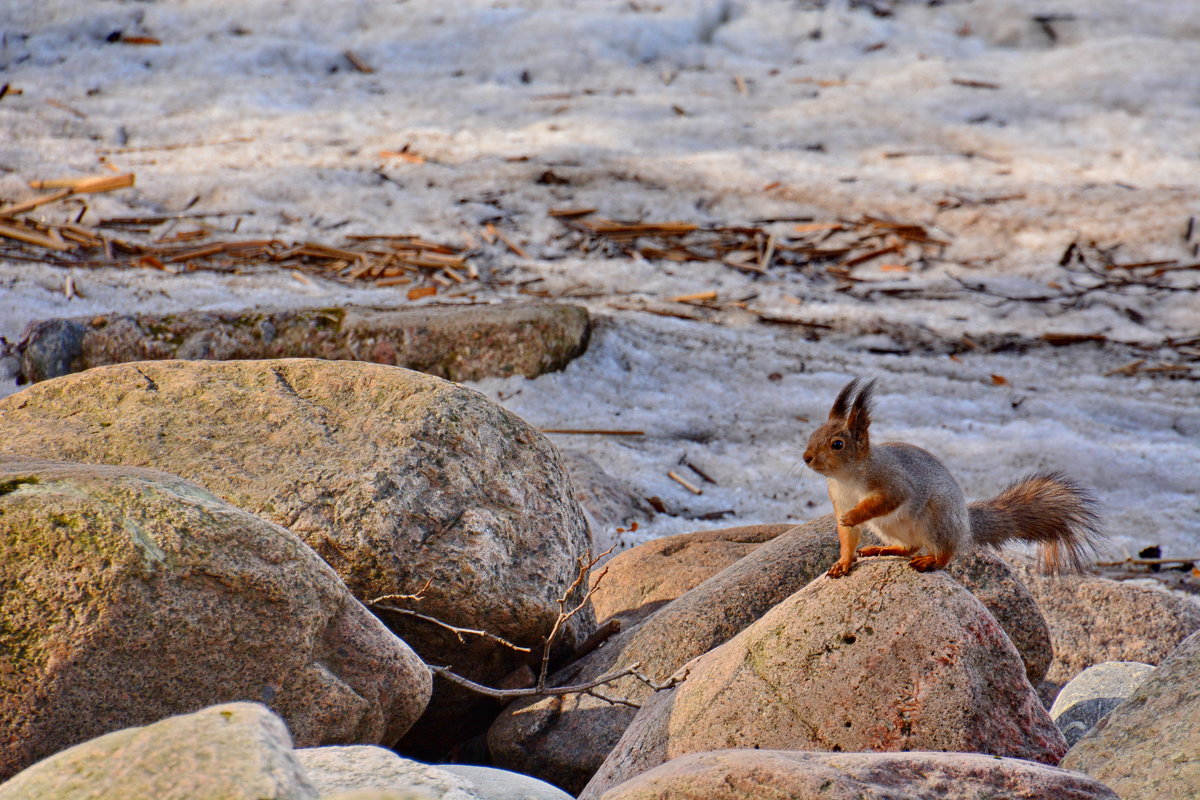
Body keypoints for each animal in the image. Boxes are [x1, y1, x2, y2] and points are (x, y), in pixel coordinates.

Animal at [801, 379, 1099, 578]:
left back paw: (930, 562)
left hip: (936, 519)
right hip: (891, 528)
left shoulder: (891, 480)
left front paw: (853, 516)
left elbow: (886, 500)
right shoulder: (839, 498)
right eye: (813, 434)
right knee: (911, 547)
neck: (847, 478)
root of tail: (965, 527)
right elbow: (847, 538)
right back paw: (883, 550)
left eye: (837, 444)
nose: (807, 457)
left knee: (945, 553)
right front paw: (843, 562)